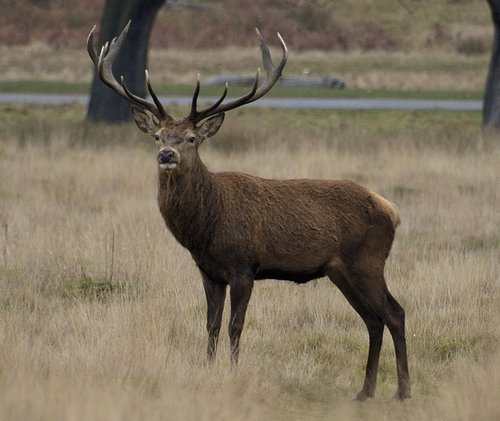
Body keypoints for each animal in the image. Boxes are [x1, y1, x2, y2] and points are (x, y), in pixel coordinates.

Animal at [87, 22, 410, 400]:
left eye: (192, 138)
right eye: (157, 136)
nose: (167, 155)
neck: (205, 228)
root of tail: (392, 210)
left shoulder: (244, 265)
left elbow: (235, 324)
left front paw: (232, 371)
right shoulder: (209, 271)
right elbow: (211, 324)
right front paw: (207, 369)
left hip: (367, 261)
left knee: (395, 313)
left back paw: (403, 391)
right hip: (340, 270)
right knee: (373, 320)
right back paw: (365, 391)